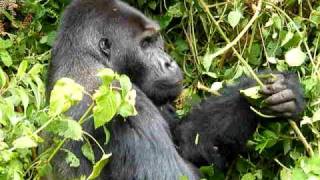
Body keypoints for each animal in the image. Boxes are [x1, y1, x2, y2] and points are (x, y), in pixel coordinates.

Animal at [46, 0, 306, 179]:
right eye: (145, 44)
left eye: (155, 40)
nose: (169, 62)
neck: (88, 58)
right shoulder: (122, 99)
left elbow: (188, 140)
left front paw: (267, 91)